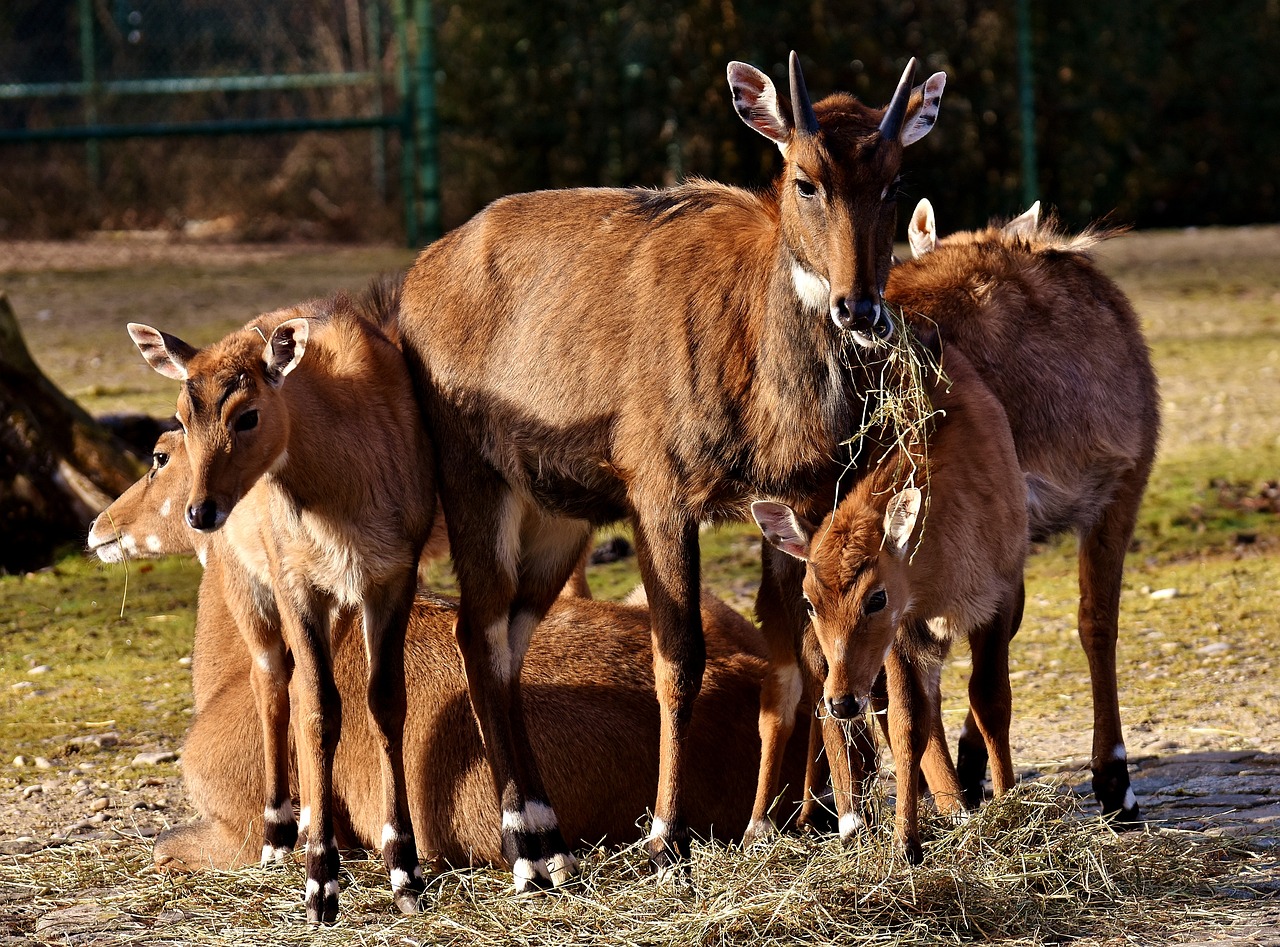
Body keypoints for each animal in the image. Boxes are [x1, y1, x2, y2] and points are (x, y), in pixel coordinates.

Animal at [125, 290, 435, 926]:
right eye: (183, 415)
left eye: (247, 414)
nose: (200, 511)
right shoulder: (295, 583)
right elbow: (316, 709)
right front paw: (321, 883)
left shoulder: (391, 577)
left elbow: (385, 703)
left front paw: (405, 871)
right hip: (251, 586)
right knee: (273, 680)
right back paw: (279, 831)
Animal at [752, 350, 1024, 865]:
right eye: (810, 600)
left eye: (876, 596)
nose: (842, 701)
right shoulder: (905, 632)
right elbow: (905, 724)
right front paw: (905, 842)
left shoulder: (1001, 601)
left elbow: (991, 702)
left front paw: (1010, 806)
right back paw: (839, 820)